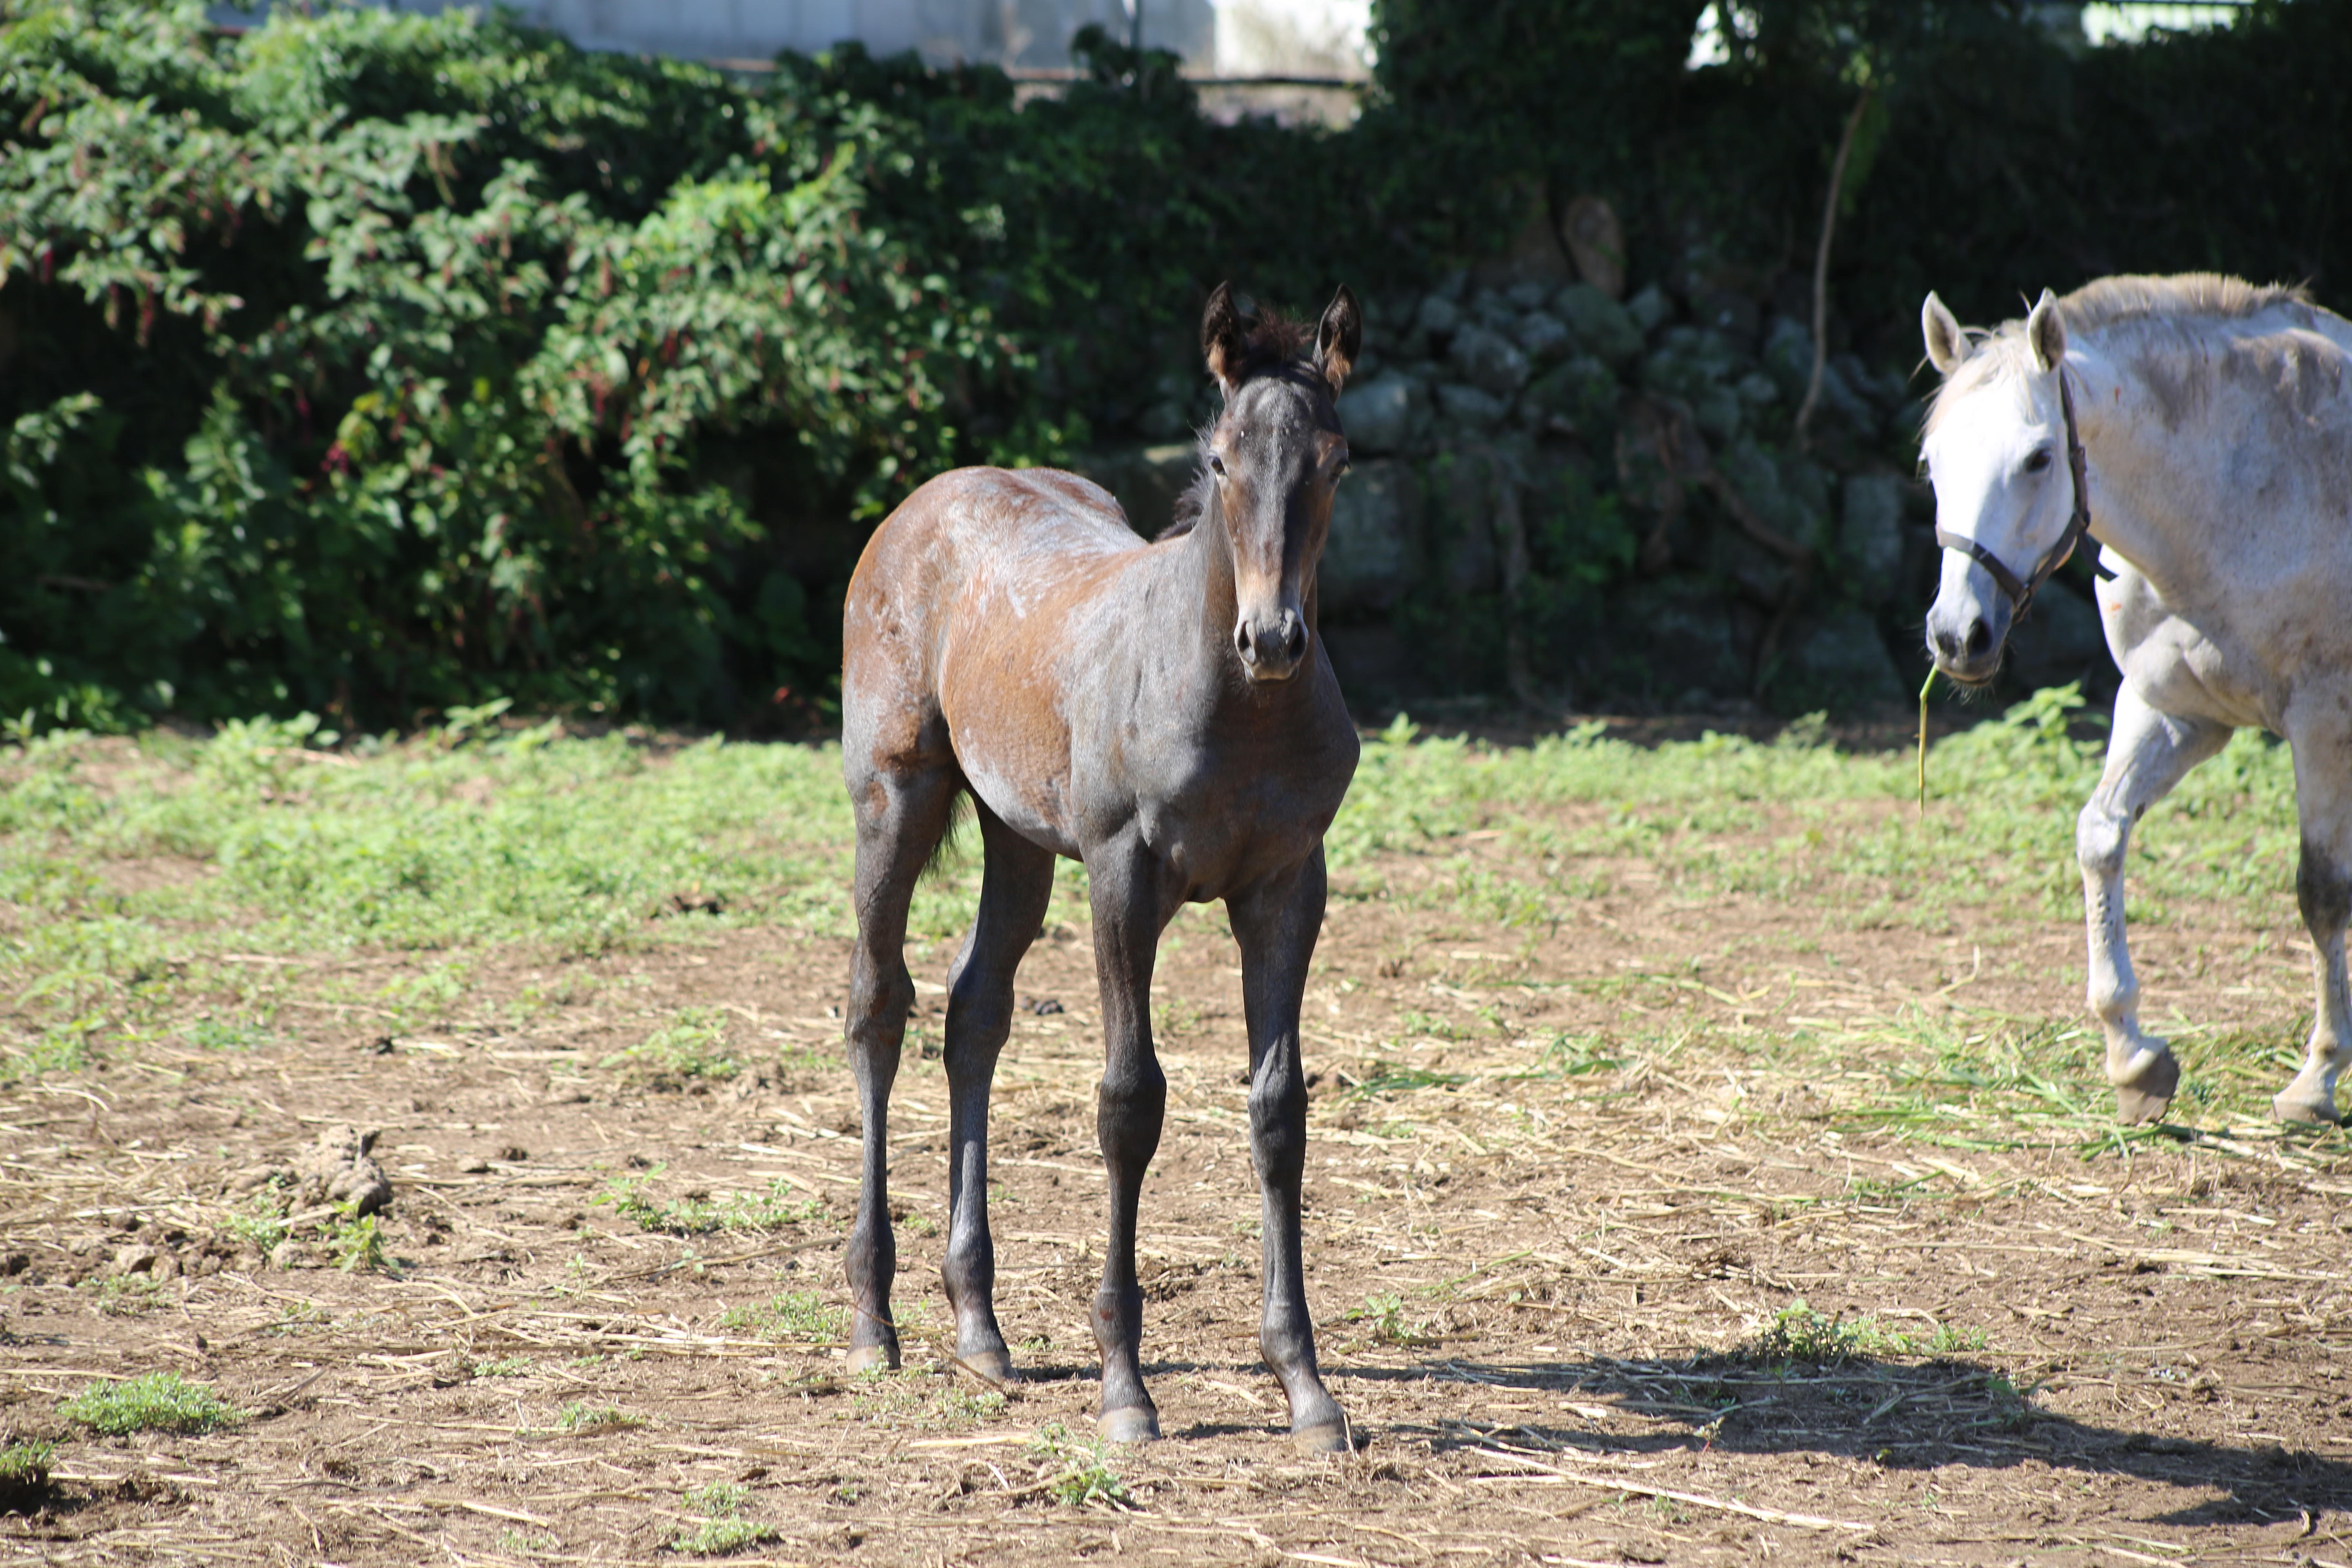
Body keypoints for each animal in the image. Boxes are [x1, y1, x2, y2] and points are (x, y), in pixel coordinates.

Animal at [842, 288, 1364, 1457]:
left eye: (1336, 459)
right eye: (1218, 458)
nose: (1273, 638)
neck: (1235, 708)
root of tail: (924, 501)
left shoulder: (1287, 888)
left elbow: (1278, 1111)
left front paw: (1306, 1388)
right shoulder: (1124, 877)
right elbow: (1130, 1103)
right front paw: (1125, 1387)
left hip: (1019, 836)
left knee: (974, 1013)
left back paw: (979, 1327)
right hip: (895, 796)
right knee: (879, 1005)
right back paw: (872, 1320)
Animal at [1919, 272, 2352, 1128]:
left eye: (2037, 459)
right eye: (1933, 462)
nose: (1958, 637)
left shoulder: (2322, 723)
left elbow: (2321, 892)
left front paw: (2318, 1077)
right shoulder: (2173, 711)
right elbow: (2100, 836)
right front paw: (2133, 1056)